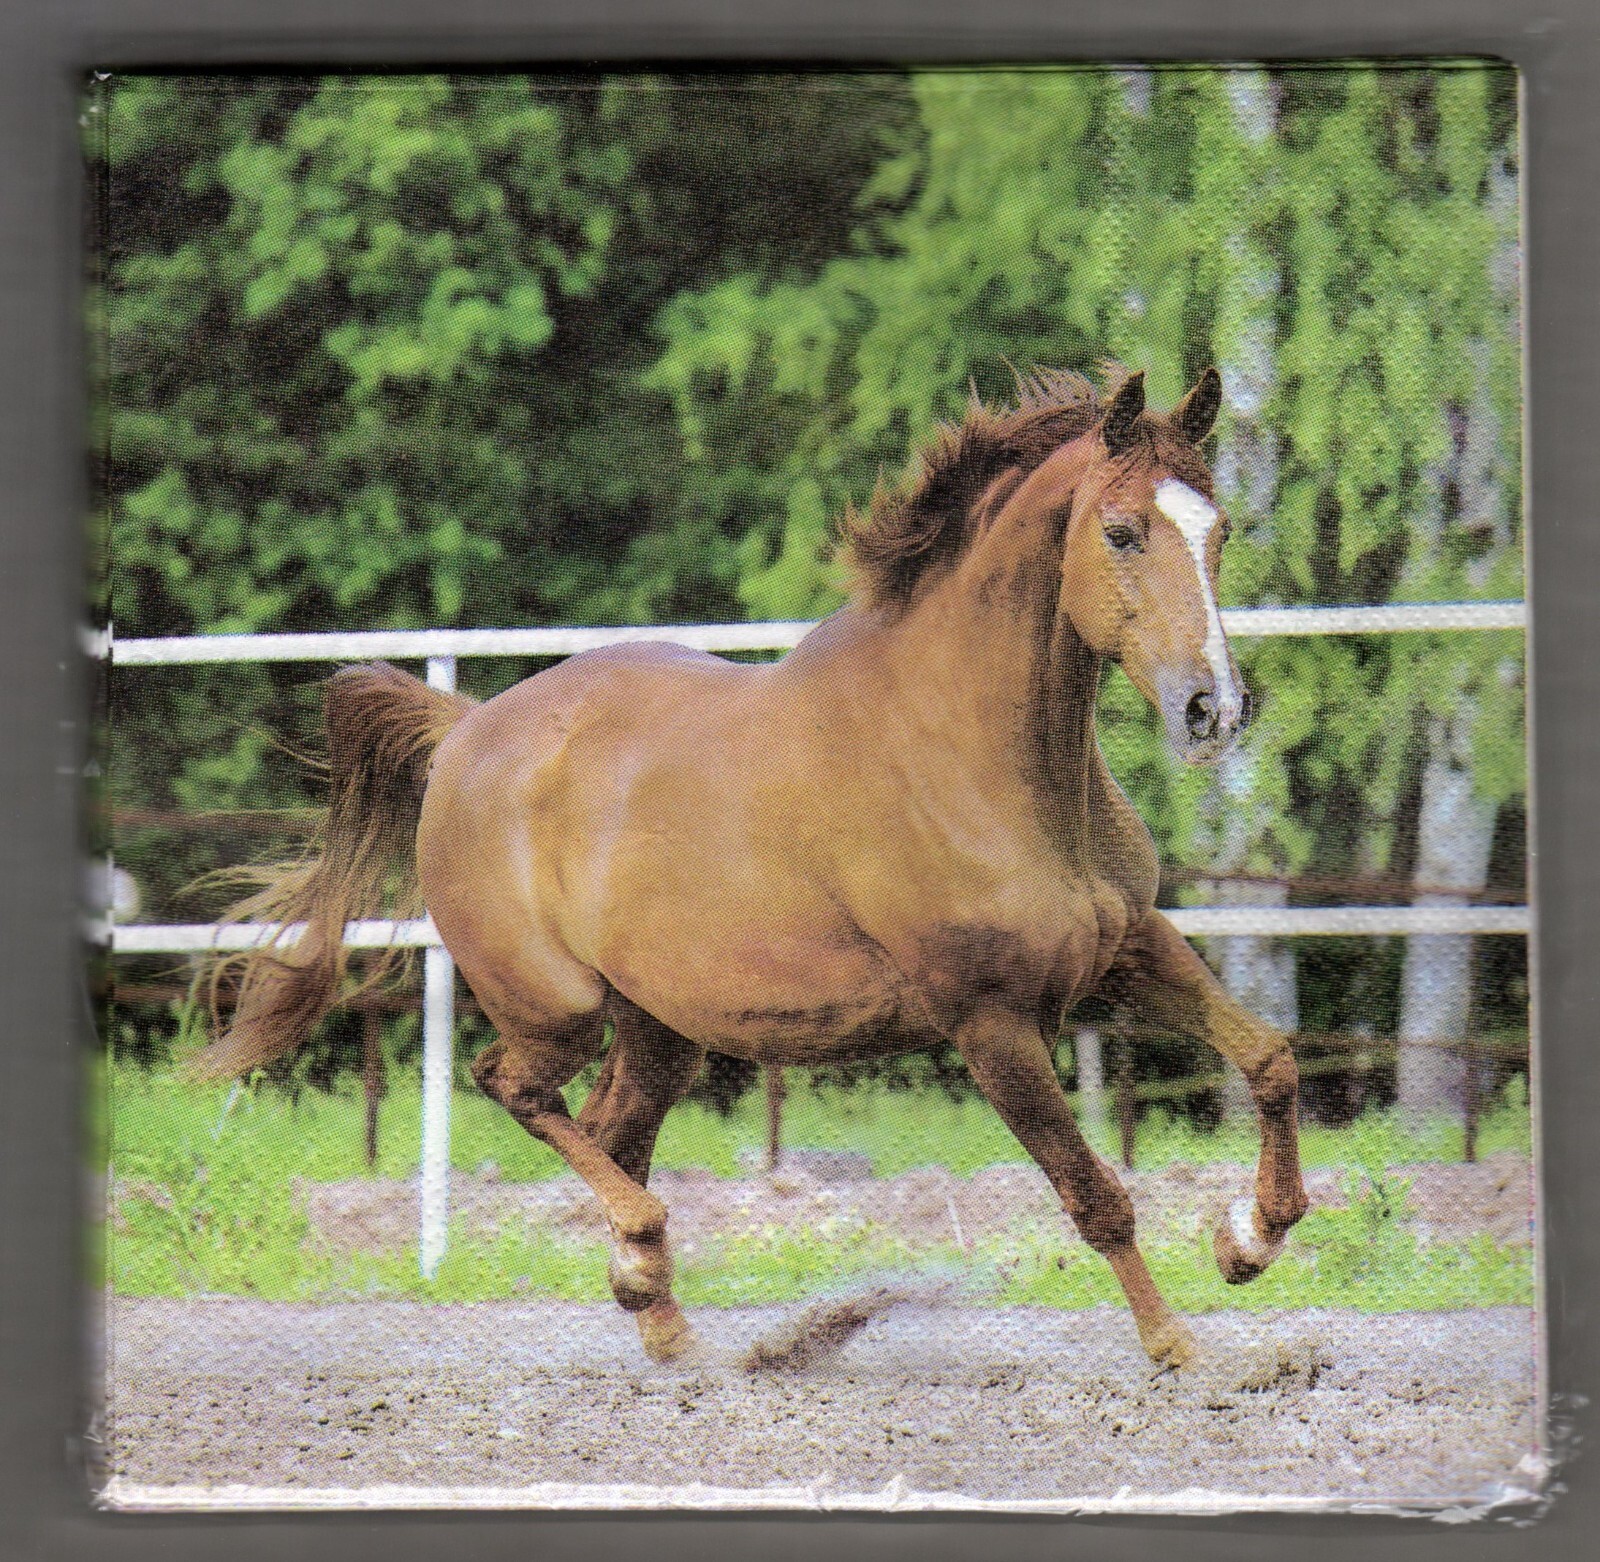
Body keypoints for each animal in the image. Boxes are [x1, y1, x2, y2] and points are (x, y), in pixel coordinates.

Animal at [197, 365, 1309, 1370]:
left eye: (1219, 532)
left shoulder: (1129, 948)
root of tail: (464, 729)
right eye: (1121, 531)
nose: (1213, 709)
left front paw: (1247, 1239)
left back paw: (660, 1312)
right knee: (513, 1086)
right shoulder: (989, 1018)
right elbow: (1094, 1192)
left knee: (607, 1122)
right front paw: (1176, 1343)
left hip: (659, 1028)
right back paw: (646, 1247)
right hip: (556, 1006)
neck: (986, 759)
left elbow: (1267, 1056)